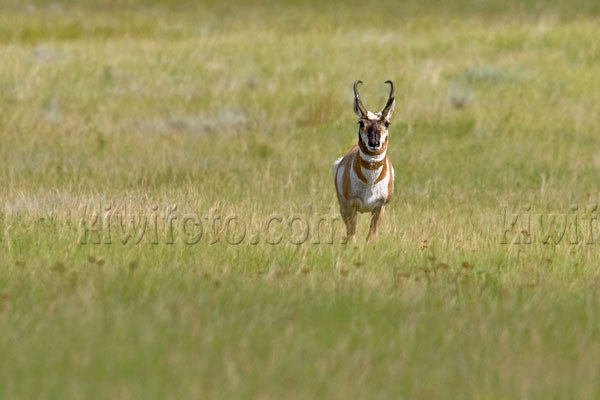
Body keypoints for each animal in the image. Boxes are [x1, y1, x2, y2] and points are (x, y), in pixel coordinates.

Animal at [332, 81, 394, 241]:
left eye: (387, 123)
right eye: (361, 123)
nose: (374, 143)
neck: (370, 182)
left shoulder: (380, 207)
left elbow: (372, 236)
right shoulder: (351, 205)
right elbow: (352, 235)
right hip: (343, 206)